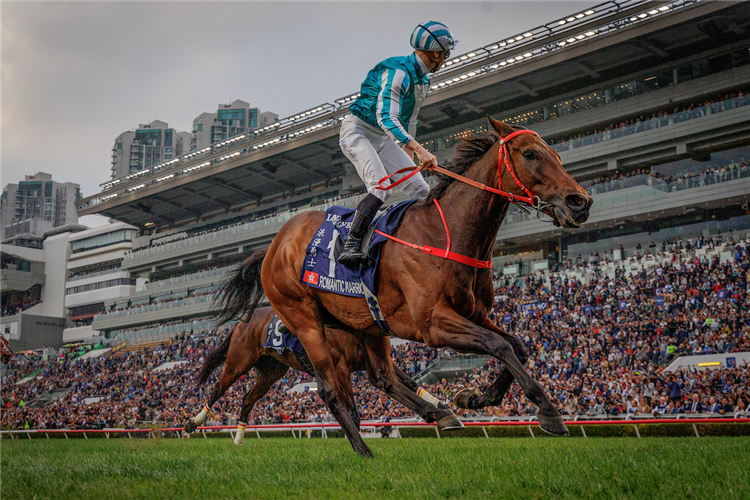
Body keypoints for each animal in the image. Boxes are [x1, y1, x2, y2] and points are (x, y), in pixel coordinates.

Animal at [185, 304, 462, 442]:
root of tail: (242, 322)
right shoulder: (341, 367)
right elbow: (354, 409)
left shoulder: (376, 362)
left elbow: (412, 384)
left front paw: (446, 410)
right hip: (238, 363)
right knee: (216, 390)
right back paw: (193, 422)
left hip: (270, 373)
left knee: (245, 399)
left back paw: (239, 438)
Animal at [214, 118, 596, 458]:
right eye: (531, 154)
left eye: (557, 154)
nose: (580, 201)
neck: (445, 234)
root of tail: (273, 245)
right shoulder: (433, 324)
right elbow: (498, 345)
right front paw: (548, 411)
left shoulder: (474, 314)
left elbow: (518, 346)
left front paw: (472, 398)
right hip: (304, 320)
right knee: (329, 389)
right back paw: (364, 449)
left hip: (367, 324)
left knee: (382, 376)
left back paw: (440, 413)